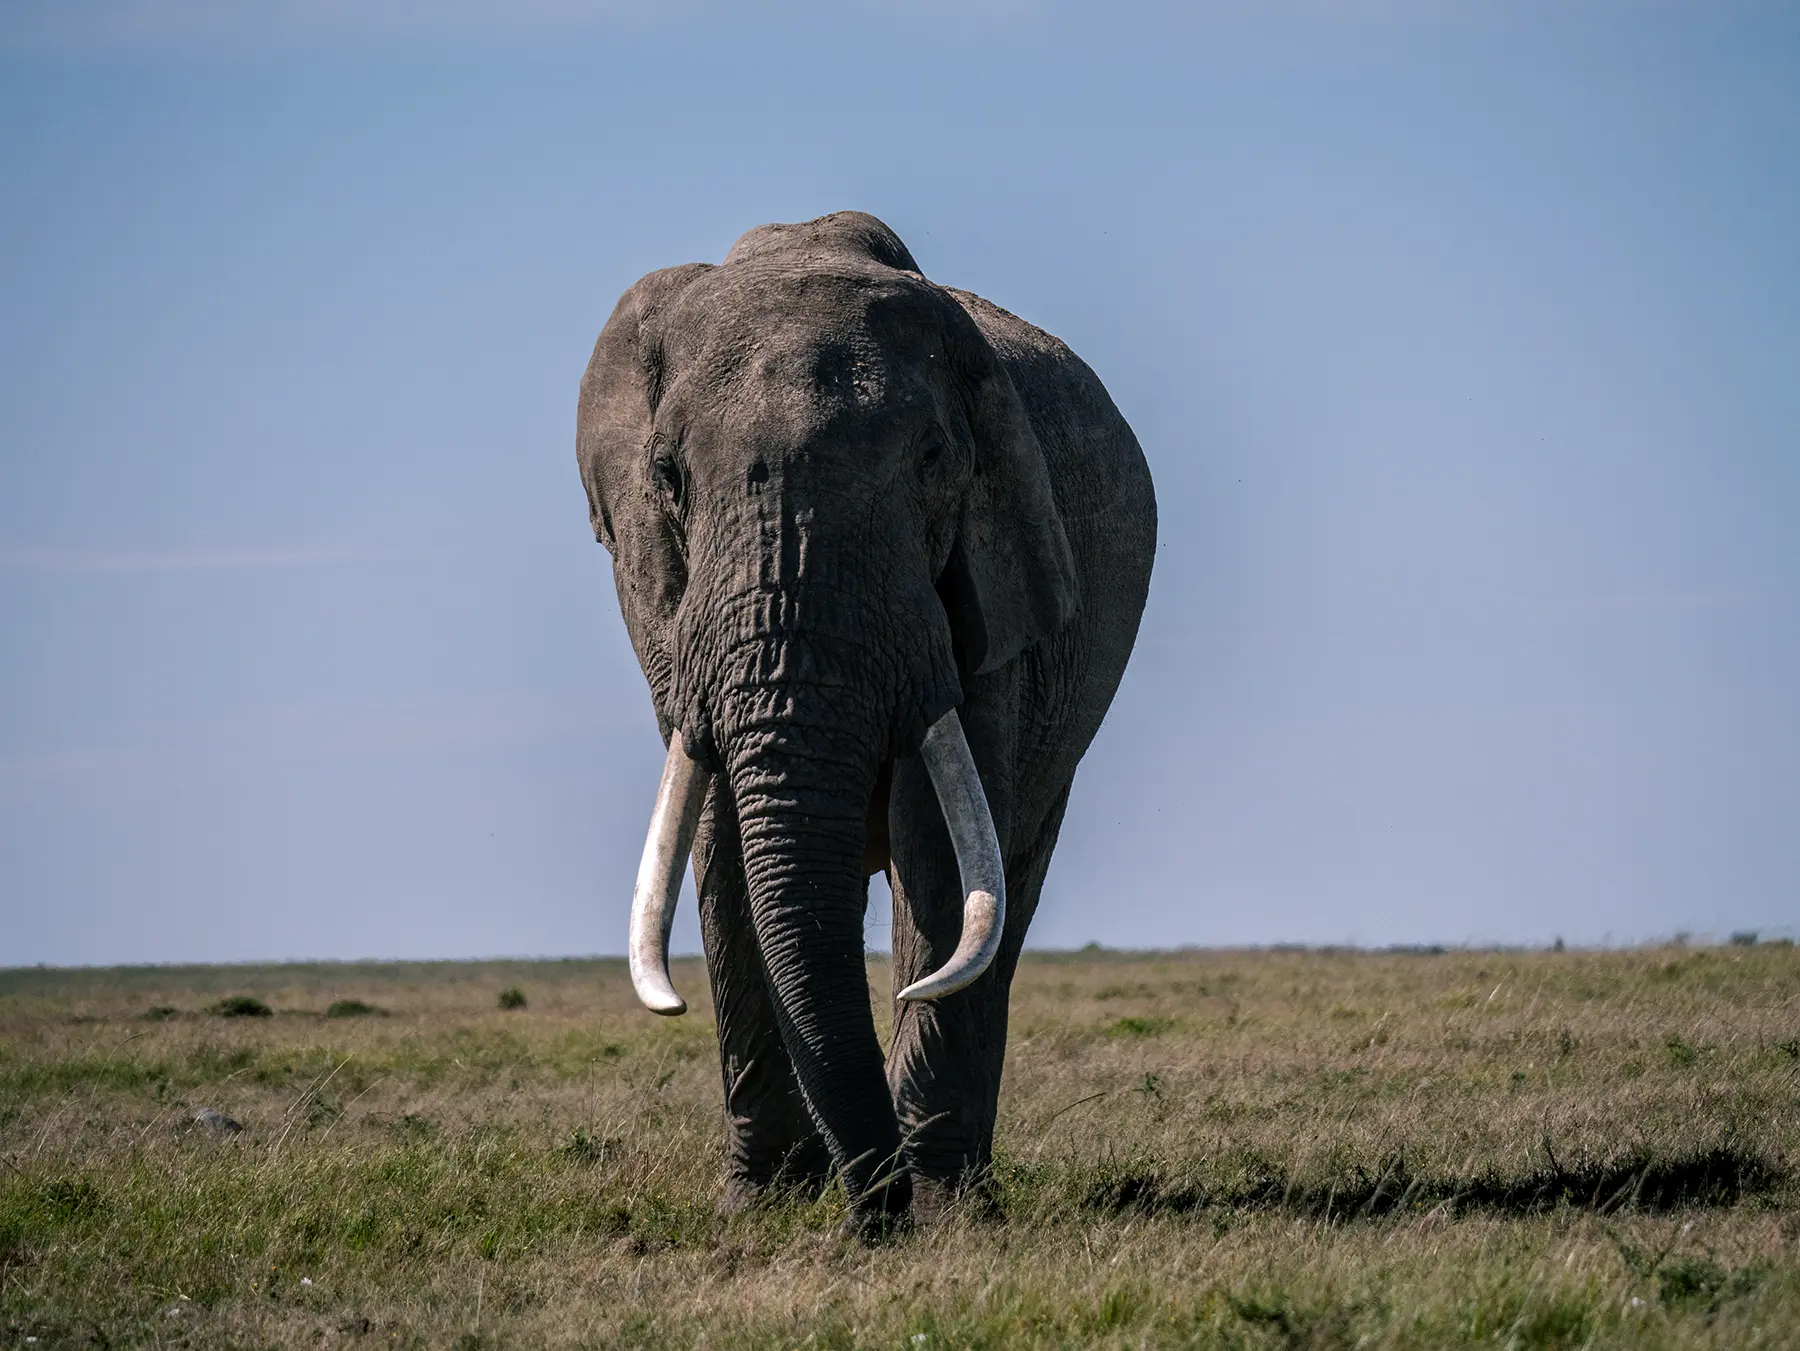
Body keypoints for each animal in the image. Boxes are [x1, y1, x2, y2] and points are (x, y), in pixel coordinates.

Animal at [576, 211, 1156, 1236]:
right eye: (667, 476)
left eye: (933, 462)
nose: (867, 1215)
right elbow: (723, 841)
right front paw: (757, 1206)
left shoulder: (986, 593)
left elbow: (939, 852)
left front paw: (939, 1211)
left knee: (1009, 881)